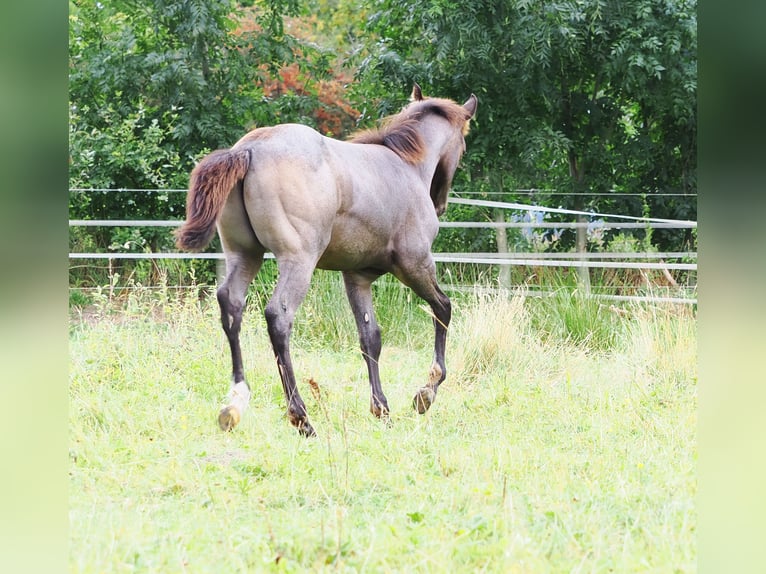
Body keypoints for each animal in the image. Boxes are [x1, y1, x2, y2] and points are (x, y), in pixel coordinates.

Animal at [175, 84, 477, 436]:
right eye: (463, 145)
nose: (440, 204)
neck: (406, 166)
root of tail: (249, 150)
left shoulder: (357, 277)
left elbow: (370, 338)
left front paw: (382, 409)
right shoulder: (415, 264)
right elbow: (443, 309)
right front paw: (425, 393)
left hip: (245, 254)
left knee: (231, 306)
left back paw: (235, 403)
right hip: (298, 261)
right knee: (278, 317)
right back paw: (301, 417)